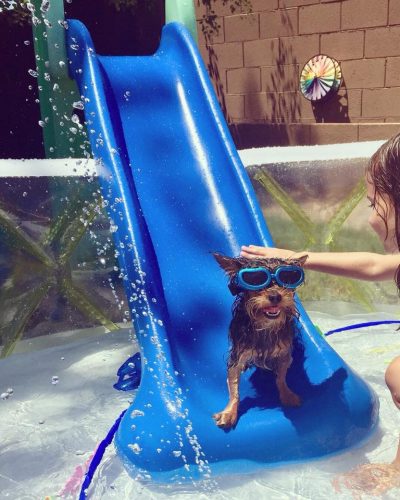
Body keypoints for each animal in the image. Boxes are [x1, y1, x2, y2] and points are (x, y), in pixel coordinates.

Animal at [212, 252, 310, 428]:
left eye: (288, 277)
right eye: (255, 279)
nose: (275, 295)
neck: (265, 326)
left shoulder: (284, 354)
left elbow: (281, 378)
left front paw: (286, 394)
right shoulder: (237, 357)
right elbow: (234, 389)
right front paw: (229, 412)